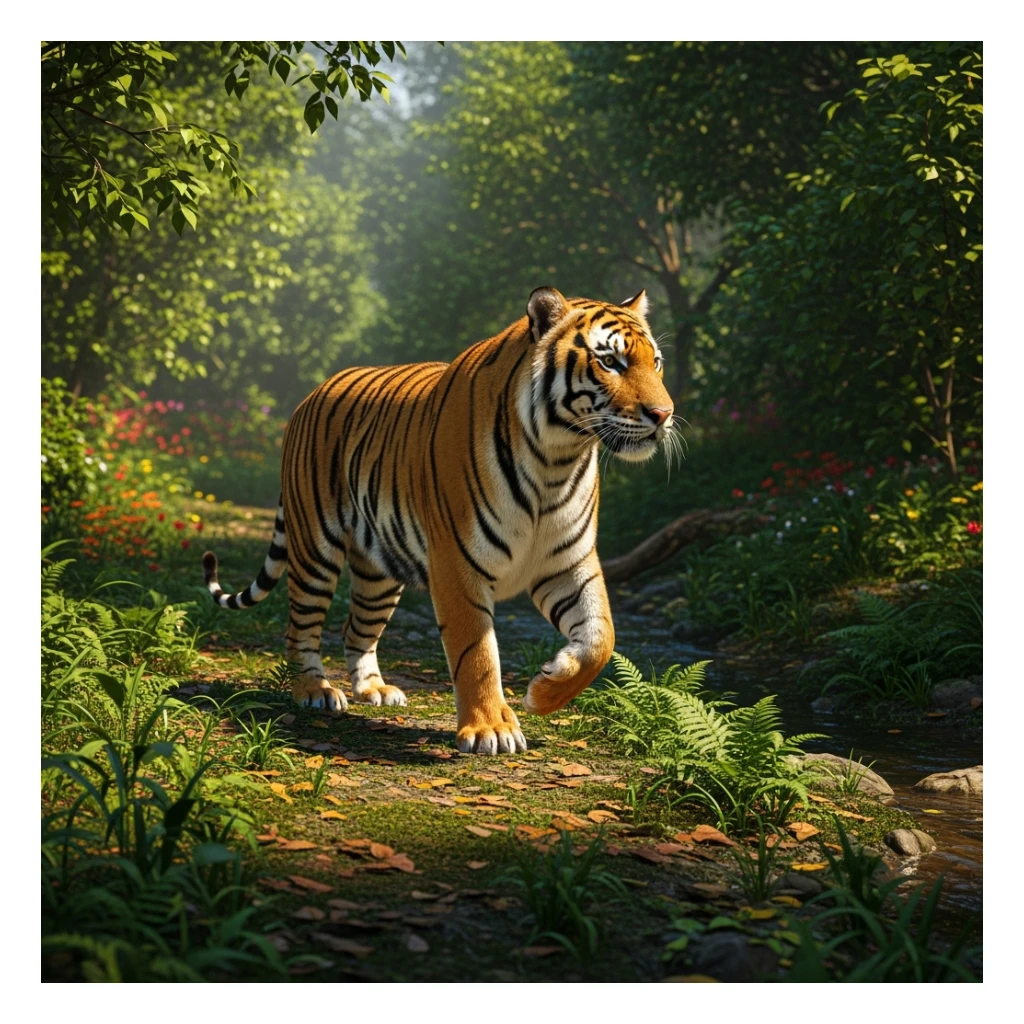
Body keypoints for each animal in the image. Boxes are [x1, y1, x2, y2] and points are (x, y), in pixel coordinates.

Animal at [201, 287, 675, 754]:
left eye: (655, 362)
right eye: (610, 361)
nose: (664, 415)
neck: (556, 459)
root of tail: (313, 393)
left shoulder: (568, 561)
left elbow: (601, 637)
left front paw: (544, 692)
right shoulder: (458, 563)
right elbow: (477, 653)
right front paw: (490, 729)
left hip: (379, 573)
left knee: (357, 629)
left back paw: (374, 689)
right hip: (315, 549)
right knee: (300, 626)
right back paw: (314, 690)